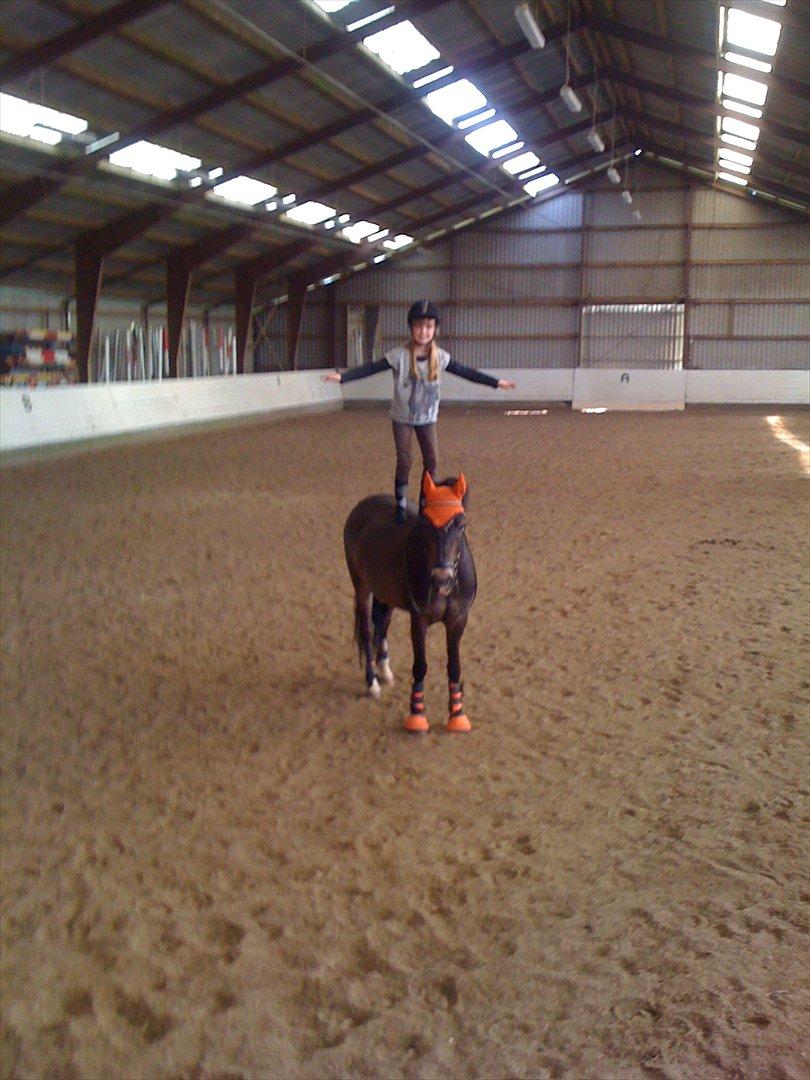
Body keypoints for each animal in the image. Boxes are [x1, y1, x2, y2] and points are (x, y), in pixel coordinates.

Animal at [343, 471, 477, 733]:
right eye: (425, 525)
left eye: (461, 524)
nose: (441, 579)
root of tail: (361, 508)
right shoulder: (419, 620)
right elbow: (420, 666)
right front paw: (417, 716)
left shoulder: (458, 621)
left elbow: (454, 666)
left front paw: (457, 715)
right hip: (362, 586)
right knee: (367, 630)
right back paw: (372, 682)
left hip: (385, 593)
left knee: (381, 623)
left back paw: (384, 671)